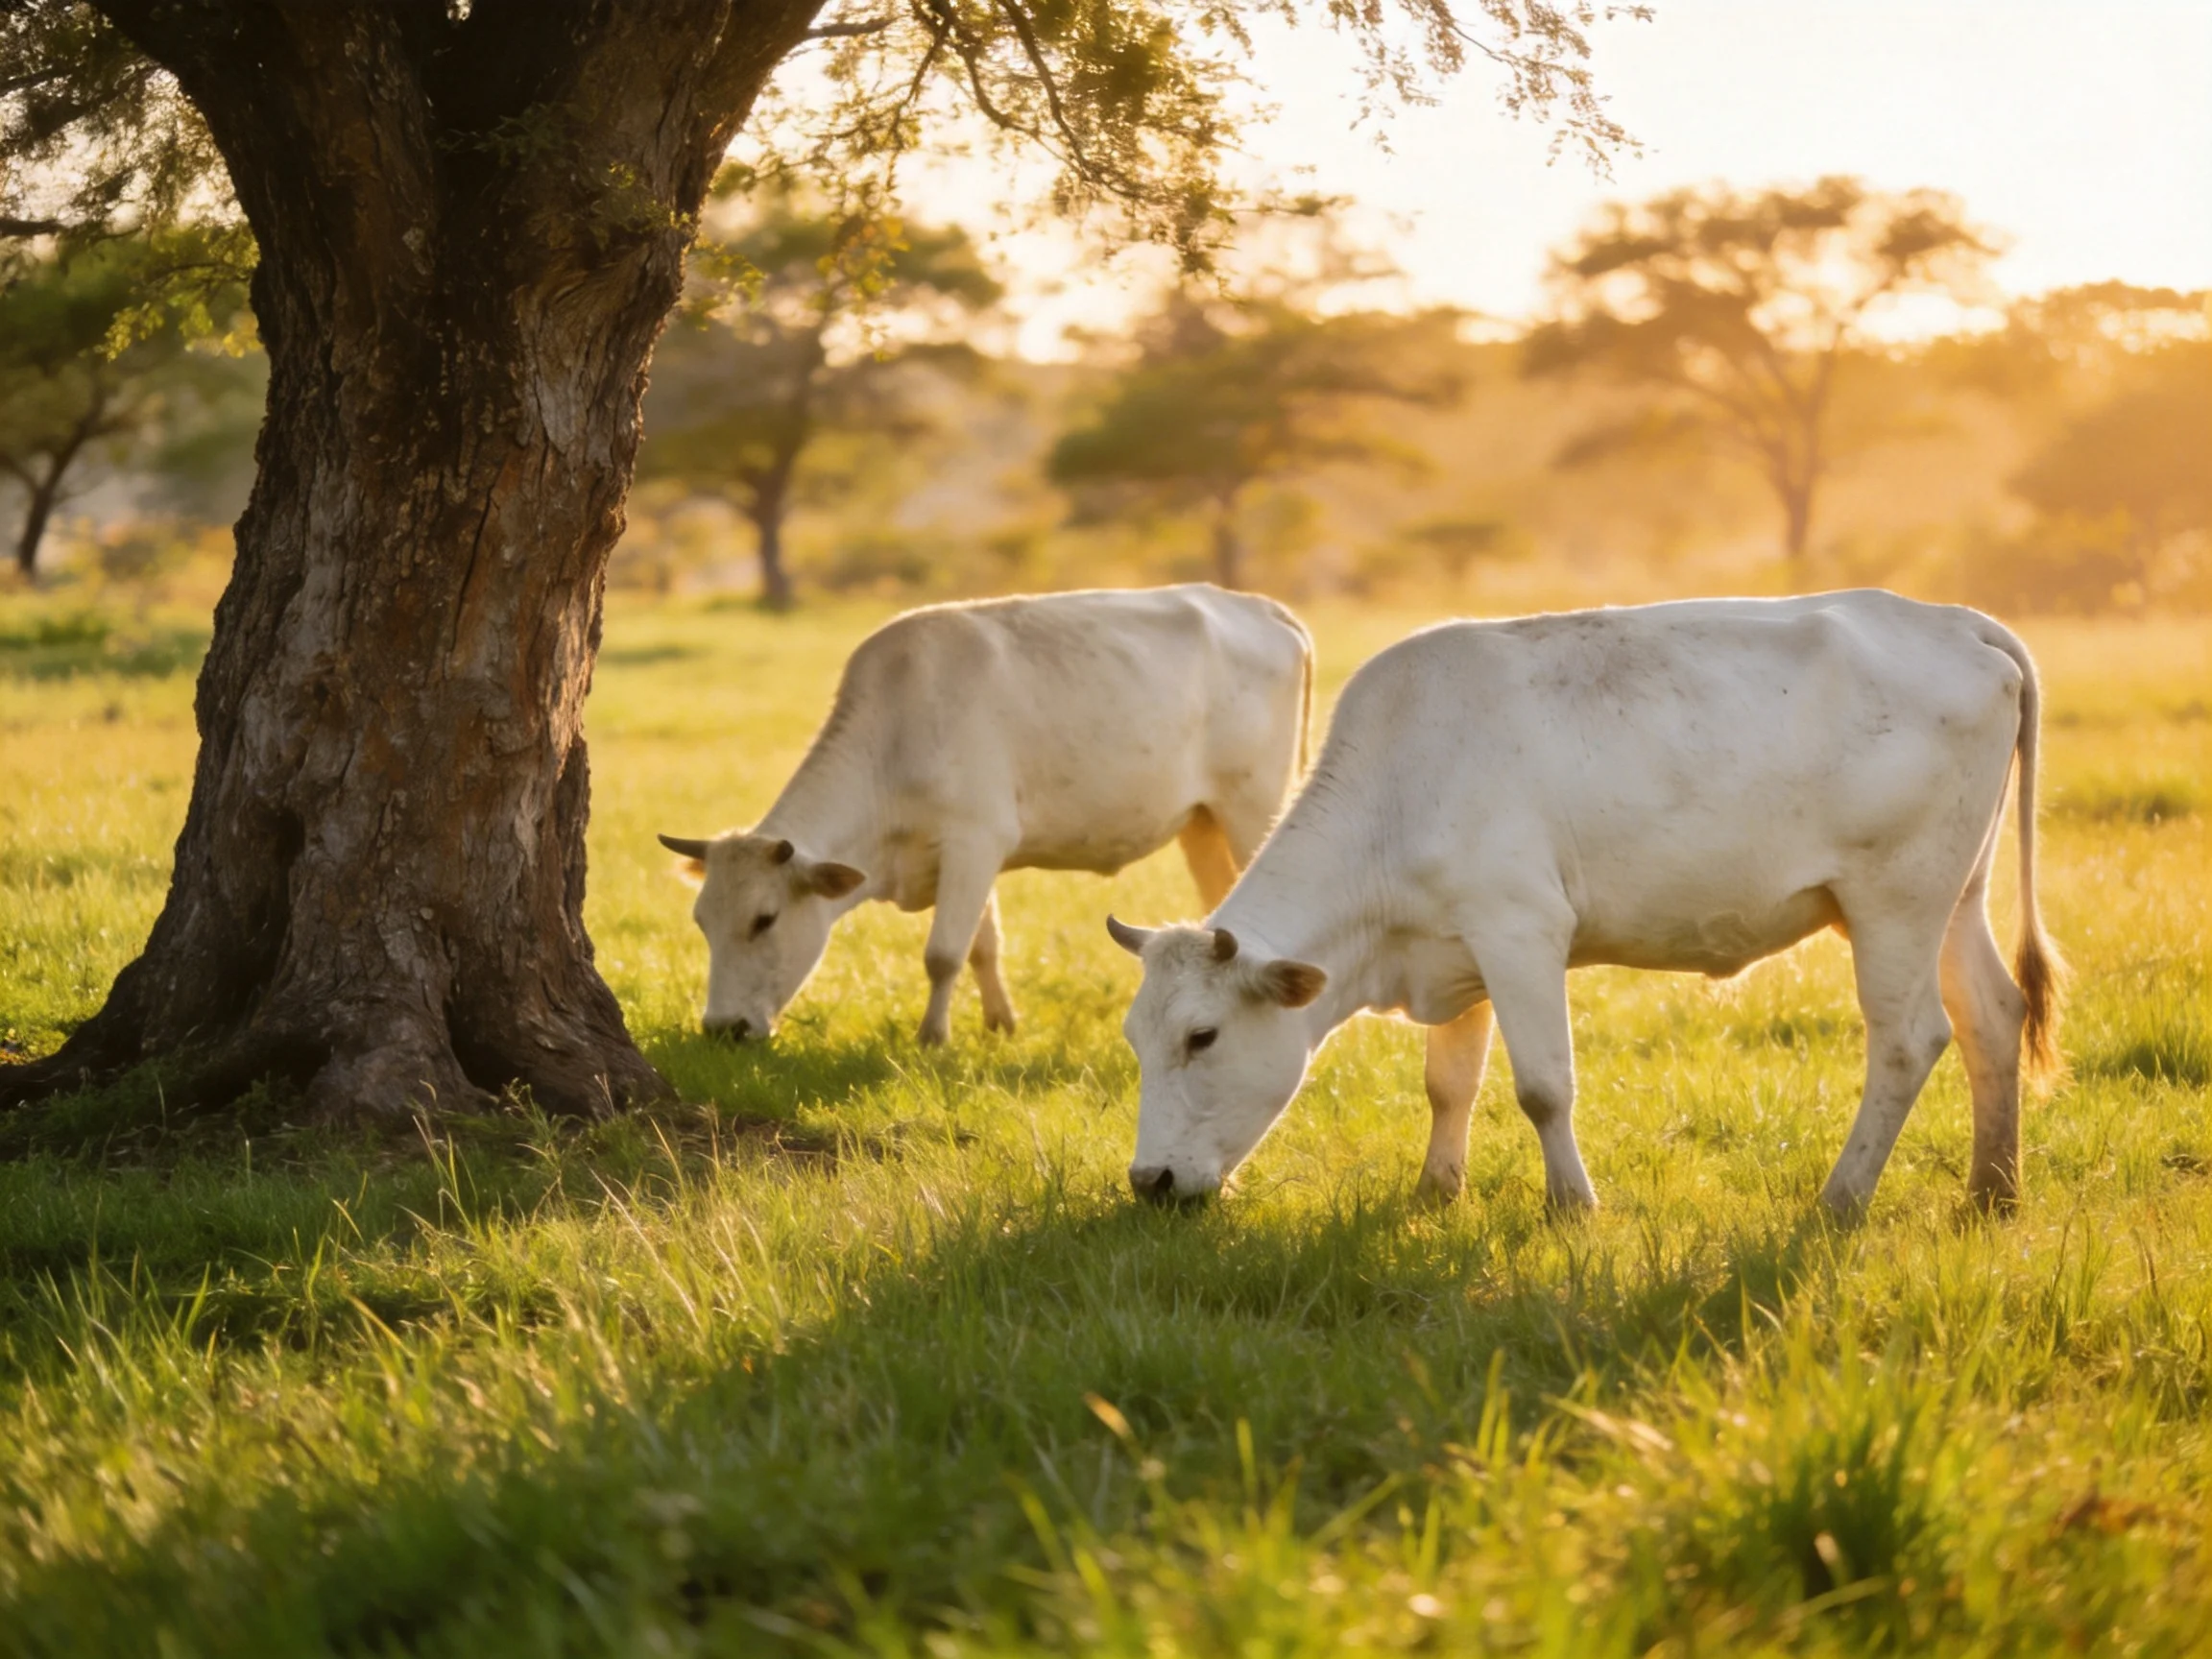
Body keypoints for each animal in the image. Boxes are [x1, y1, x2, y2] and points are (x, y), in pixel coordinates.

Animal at [661, 585, 1312, 1046]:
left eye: (764, 919)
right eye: (701, 921)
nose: (721, 1030)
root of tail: (1261, 607)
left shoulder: (974, 840)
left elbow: (943, 952)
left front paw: (932, 1038)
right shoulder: (970, 856)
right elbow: (982, 946)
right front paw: (1001, 1024)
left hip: (1253, 805)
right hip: (1202, 821)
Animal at [1107, 590, 2063, 1223]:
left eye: (1203, 1037)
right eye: (1137, 1039)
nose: (1150, 1182)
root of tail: (1956, 621)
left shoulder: (1521, 930)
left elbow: (1542, 1086)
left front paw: (1571, 1206)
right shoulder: (1459, 947)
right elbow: (1448, 1082)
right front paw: (1435, 1189)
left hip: (1893, 901)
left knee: (1909, 1040)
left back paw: (1841, 1198)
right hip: (1956, 896)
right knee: (1991, 1014)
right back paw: (1993, 1190)